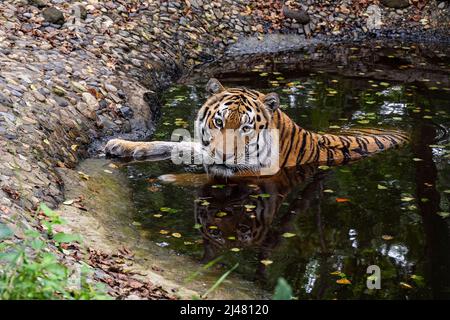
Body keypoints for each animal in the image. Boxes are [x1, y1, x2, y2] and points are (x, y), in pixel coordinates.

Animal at [104, 78, 408, 178]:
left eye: (246, 128)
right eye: (219, 122)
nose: (223, 156)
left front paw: (169, 178)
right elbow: (172, 145)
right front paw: (122, 145)